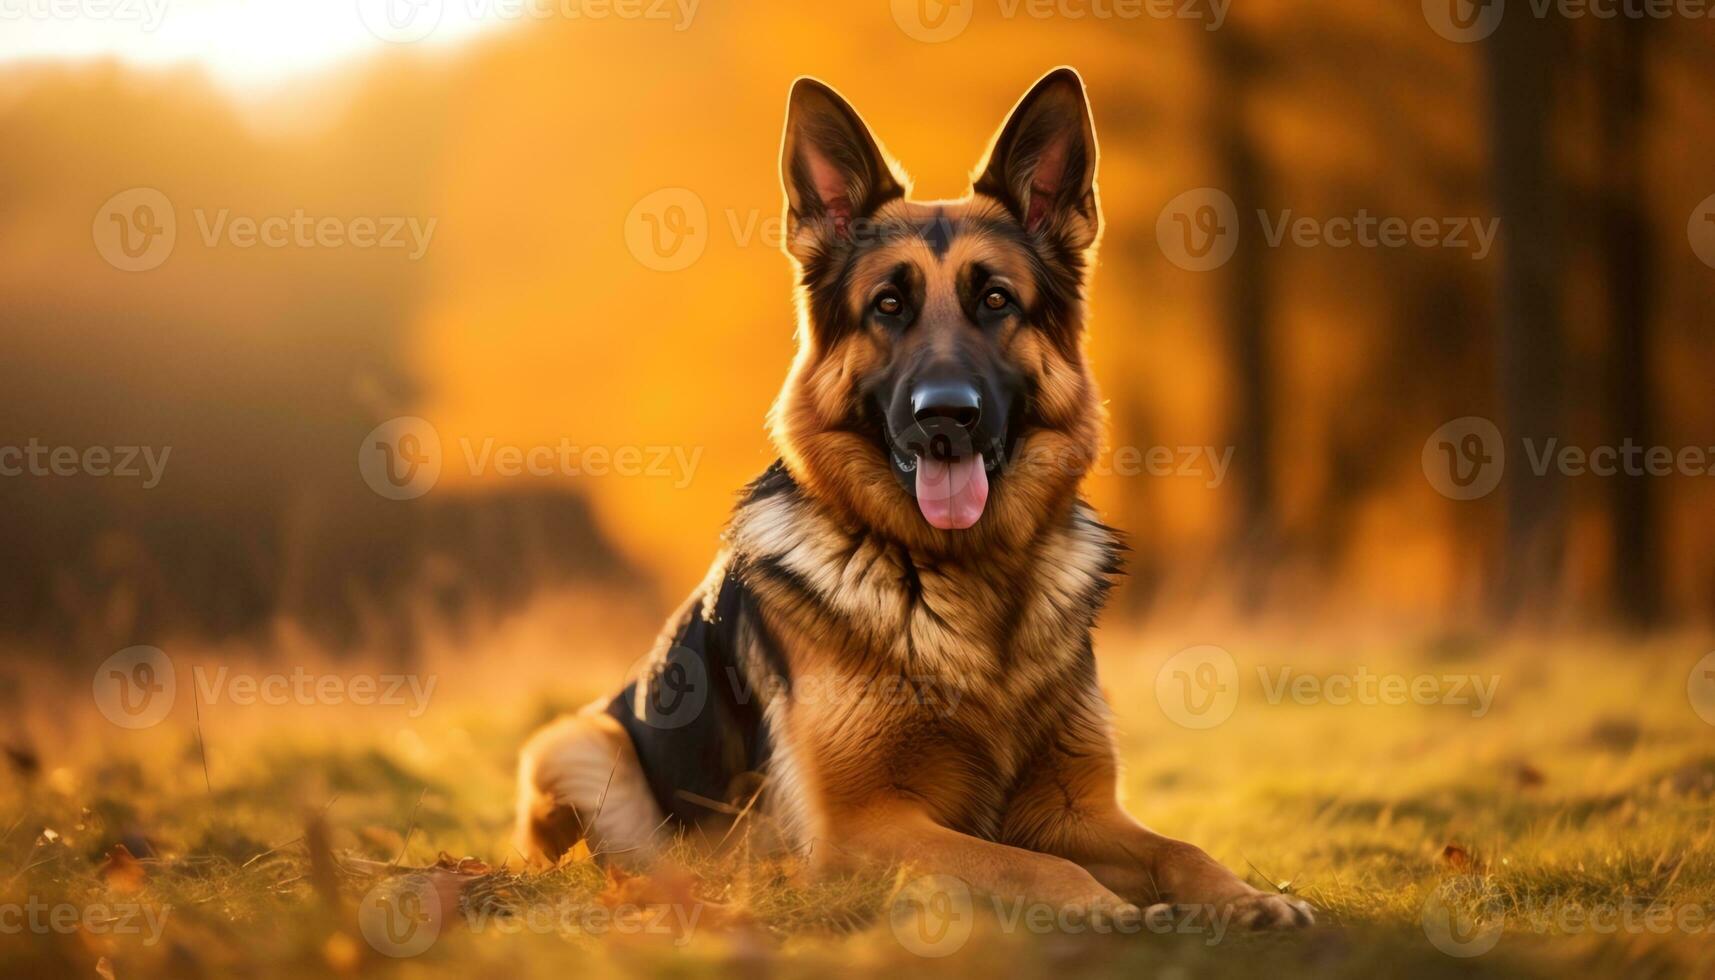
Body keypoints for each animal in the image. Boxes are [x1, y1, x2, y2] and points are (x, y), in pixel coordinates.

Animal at [514, 66, 1303, 926]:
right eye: (887, 306)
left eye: (996, 300)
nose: (944, 417)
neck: (966, 580)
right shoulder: (865, 827)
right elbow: (1023, 864)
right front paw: (1103, 907)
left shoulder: (1077, 808)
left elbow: (1178, 849)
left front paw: (1243, 897)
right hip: (576, 745)